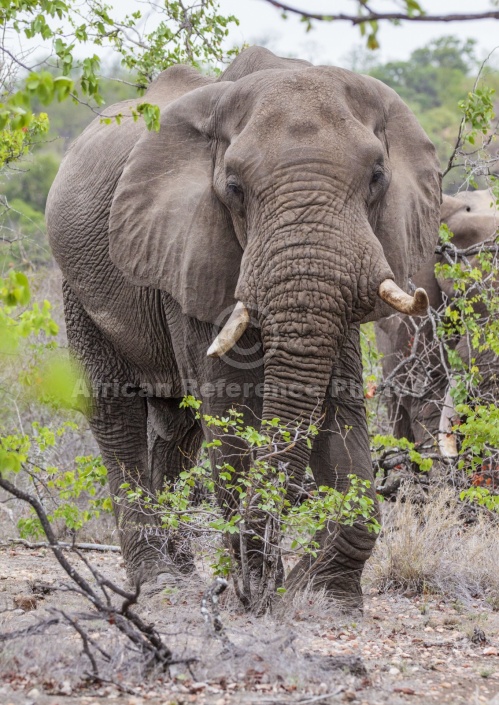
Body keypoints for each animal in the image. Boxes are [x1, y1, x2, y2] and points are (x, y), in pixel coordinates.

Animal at [45, 46, 440, 608]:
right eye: (233, 188)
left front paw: (322, 596)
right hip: (79, 287)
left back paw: (184, 569)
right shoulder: (189, 248)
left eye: (377, 177)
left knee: (178, 427)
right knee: (116, 412)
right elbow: (227, 404)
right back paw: (159, 580)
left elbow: (337, 404)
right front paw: (255, 590)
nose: (263, 581)